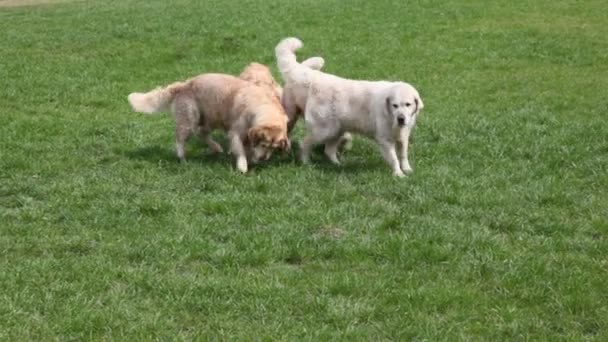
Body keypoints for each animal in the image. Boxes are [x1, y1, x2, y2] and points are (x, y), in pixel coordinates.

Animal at [126, 62, 290, 172]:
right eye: (264, 144)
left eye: (274, 148)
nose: (263, 159)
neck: (263, 107)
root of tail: (183, 85)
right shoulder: (236, 132)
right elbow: (241, 150)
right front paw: (243, 166)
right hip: (189, 119)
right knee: (180, 139)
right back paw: (182, 158)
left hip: (210, 117)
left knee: (201, 133)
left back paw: (216, 148)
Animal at [276, 37, 422, 176]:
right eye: (395, 105)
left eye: (408, 104)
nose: (401, 118)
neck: (390, 116)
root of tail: (314, 77)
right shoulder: (385, 140)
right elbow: (394, 158)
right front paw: (398, 174)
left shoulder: (403, 138)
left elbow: (403, 155)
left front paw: (407, 169)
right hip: (322, 129)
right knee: (304, 143)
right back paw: (305, 162)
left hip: (336, 130)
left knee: (328, 150)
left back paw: (337, 164)